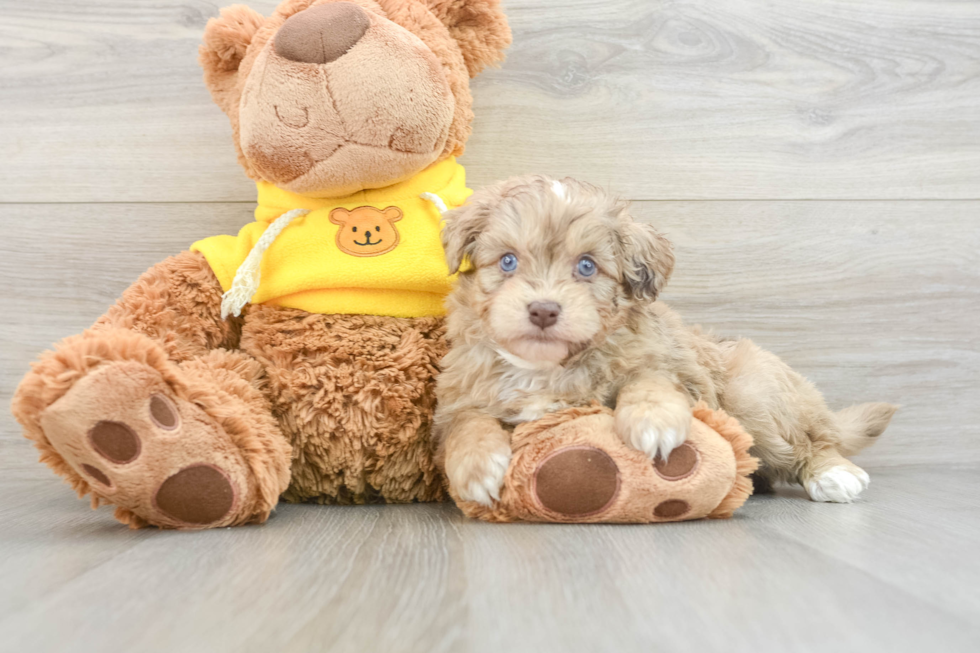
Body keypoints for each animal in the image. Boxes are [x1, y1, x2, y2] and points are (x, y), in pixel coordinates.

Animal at [434, 176, 896, 506]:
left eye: (587, 266)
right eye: (508, 261)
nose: (543, 310)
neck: (543, 366)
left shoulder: (666, 364)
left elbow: (649, 380)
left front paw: (653, 422)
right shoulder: (459, 397)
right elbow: (466, 423)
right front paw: (476, 467)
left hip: (756, 395)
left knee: (809, 442)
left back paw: (833, 473)